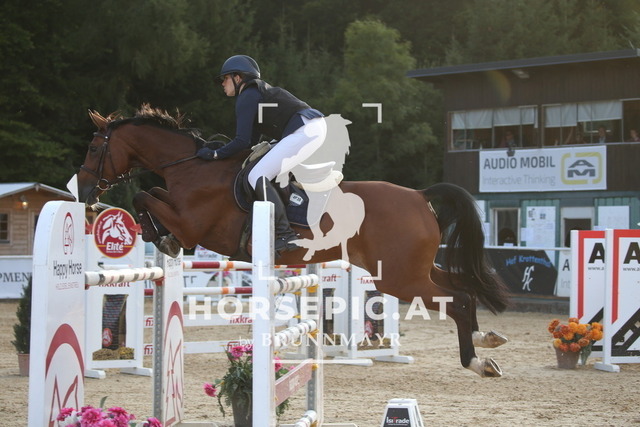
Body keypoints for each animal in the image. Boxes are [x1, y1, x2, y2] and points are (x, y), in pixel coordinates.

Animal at [77, 105, 510, 377]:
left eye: (96, 147)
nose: (84, 192)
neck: (192, 167)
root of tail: (420, 196)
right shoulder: (182, 213)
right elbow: (149, 194)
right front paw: (157, 235)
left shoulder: (193, 225)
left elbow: (143, 196)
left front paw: (159, 237)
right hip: (413, 269)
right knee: (462, 288)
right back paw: (485, 340)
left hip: (398, 278)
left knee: (457, 299)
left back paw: (476, 362)